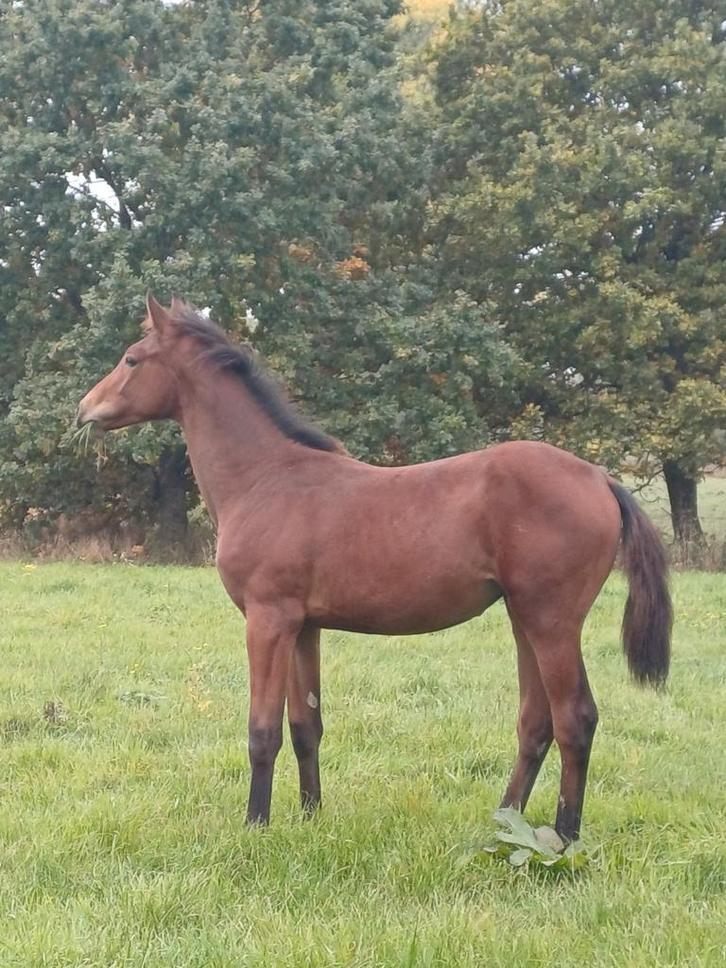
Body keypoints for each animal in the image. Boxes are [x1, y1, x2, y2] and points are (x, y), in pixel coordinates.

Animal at [77, 294, 671, 841]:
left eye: (131, 359)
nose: (83, 411)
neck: (265, 478)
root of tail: (601, 479)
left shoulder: (267, 620)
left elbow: (262, 730)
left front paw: (256, 826)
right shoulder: (303, 627)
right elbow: (305, 723)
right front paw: (311, 817)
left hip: (552, 621)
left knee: (575, 719)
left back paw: (564, 837)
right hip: (524, 618)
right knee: (535, 722)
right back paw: (504, 823)